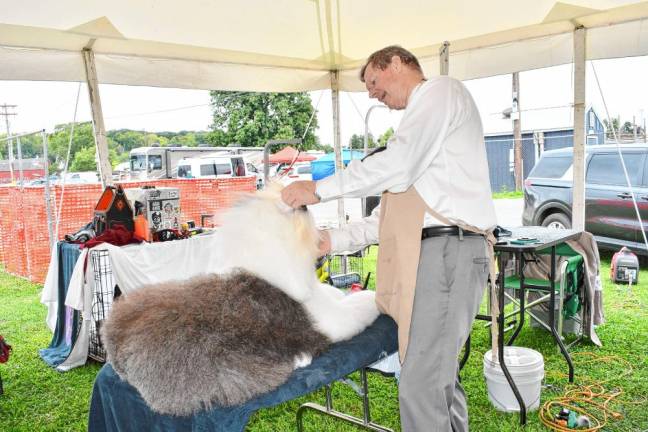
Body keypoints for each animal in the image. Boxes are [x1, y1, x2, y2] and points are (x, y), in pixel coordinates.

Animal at [101, 184, 380, 416]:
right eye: (284, 212)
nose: (303, 204)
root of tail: (117, 348)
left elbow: (335, 293)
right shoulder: (330, 321)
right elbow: (359, 306)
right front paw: (372, 297)